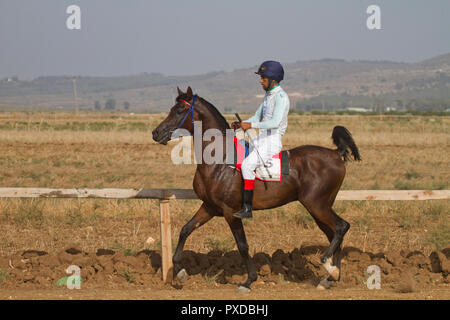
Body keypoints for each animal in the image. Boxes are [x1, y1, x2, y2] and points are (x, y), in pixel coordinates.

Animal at [152, 86, 362, 292]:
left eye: (179, 110)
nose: (156, 133)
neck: (219, 160)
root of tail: (335, 153)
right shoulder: (209, 207)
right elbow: (185, 230)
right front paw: (179, 271)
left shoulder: (230, 211)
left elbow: (242, 245)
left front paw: (248, 280)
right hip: (319, 208)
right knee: (334, 234)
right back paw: (331, 277)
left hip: (317, 205)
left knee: (341, 227)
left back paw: (328, 266)